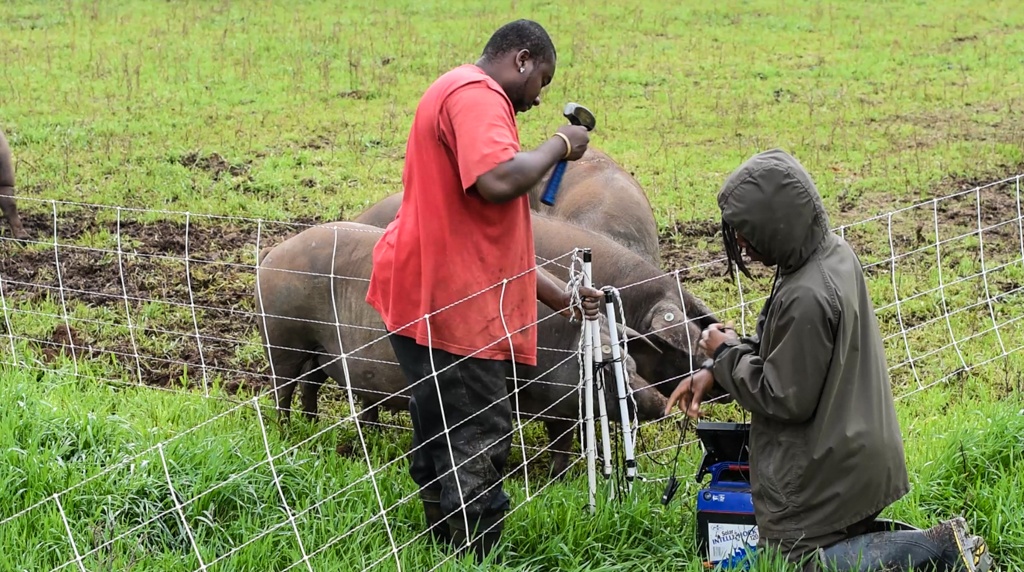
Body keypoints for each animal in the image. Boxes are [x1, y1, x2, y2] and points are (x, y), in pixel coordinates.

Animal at [254, 220, 667, 478]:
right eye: (614, 367)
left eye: (632, 363)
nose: (661, 402)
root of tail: (271, 256)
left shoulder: (560, 409)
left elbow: (563, 443)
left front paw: (563, 476)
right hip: (283, 339)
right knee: (283, 388)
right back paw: (288, 431)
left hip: (318, 352)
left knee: (312, 386)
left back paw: (316, 426)